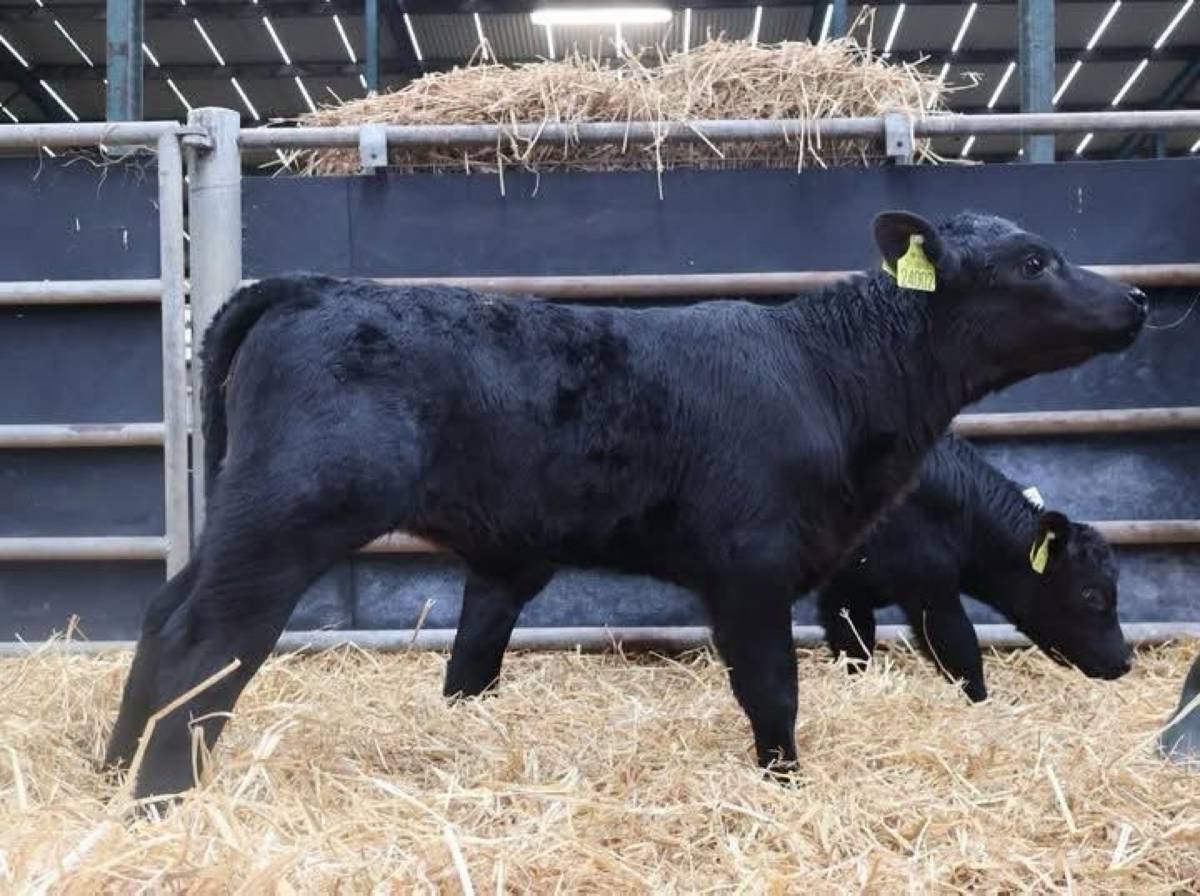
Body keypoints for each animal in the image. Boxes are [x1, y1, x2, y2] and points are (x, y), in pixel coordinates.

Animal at [817, 433, 1130, 702]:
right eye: (1090, 594)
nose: (1125, 661)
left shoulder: (846, 593)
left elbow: (855, 650)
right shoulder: (931, 593)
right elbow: (961, 651)